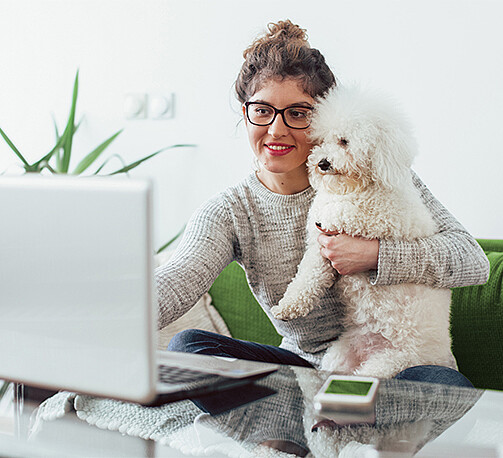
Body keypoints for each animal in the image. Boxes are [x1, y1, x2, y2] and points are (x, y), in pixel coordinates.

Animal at [274, 84, 454, 378]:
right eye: (320, 141)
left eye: (344, 141)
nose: (322, 163)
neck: (357, 188)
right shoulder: (320, 249)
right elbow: (307, 278)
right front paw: (288, 307)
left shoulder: (373, 219)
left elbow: (344, 217)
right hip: (338, 356)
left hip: (392, 362)